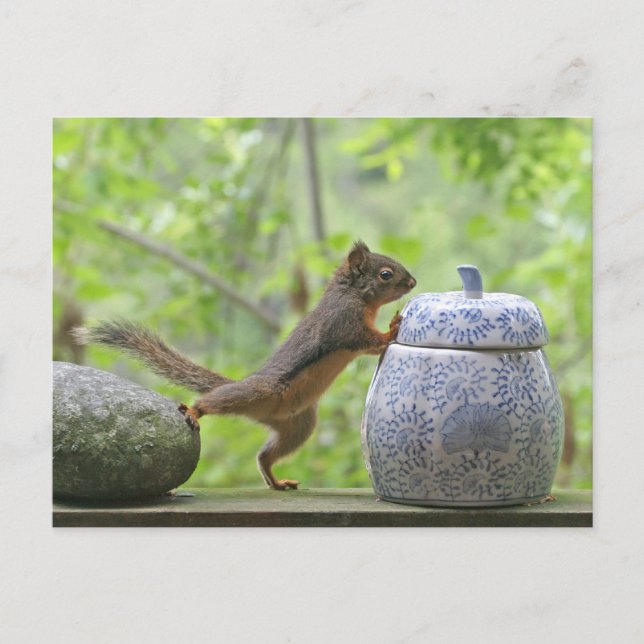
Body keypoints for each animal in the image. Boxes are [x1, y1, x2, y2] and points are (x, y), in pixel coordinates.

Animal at [73, 241, 416, 490]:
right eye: (386, 274)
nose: (413, 282)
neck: (354, 295)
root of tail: (264, 409)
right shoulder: (343, 322)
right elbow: (366, 339)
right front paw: (392, 328)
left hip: (299, 425)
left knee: (265, 455)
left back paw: (276, 480)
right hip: (257, 392)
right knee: (214, 401)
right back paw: (195, 411)